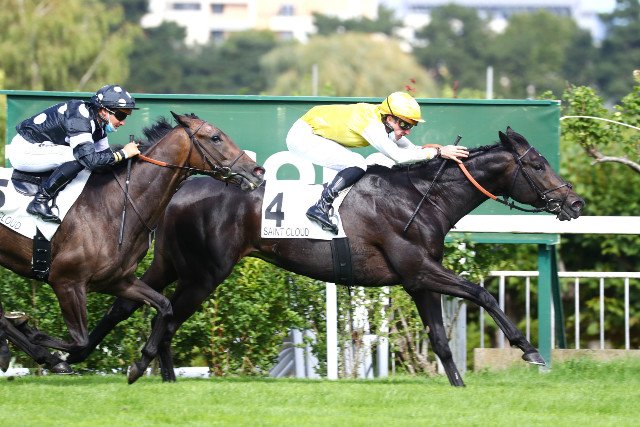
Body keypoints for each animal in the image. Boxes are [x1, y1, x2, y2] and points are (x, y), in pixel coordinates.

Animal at [0, 112, 265, 383]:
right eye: (215, 137)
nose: (257, 171)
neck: (113, 205)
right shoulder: (66, 282)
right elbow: (79, 340)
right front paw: (31, 334)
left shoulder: (117, 280)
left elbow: (164, 307)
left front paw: (139, 365)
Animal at [69, 127, 584, 386]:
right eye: (537, 165)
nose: (575, 202)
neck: (421, 196)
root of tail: (181, 188)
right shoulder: (420, 268)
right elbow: (481, 293)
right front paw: (530, 350)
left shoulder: (418, 279)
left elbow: (439, 339)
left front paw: (458, 386)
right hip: (206, 273)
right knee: (168, 314)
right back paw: (134, 365)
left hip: (172, 264)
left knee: (134, 305)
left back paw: (108, 361)